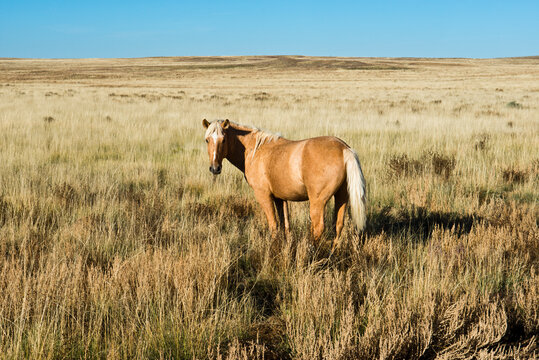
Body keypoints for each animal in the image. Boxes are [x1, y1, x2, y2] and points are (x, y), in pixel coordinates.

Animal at [202, 119, 368, 250]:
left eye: (223, 140)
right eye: (207, 140)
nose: (215, 168)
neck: (255, 150)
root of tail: (344, 149)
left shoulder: (264, 196)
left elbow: (274, 225)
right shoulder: (280, 198)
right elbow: (285, 225)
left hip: (318, 201)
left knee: (318, 227)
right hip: (342, 197)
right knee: (338, 226)